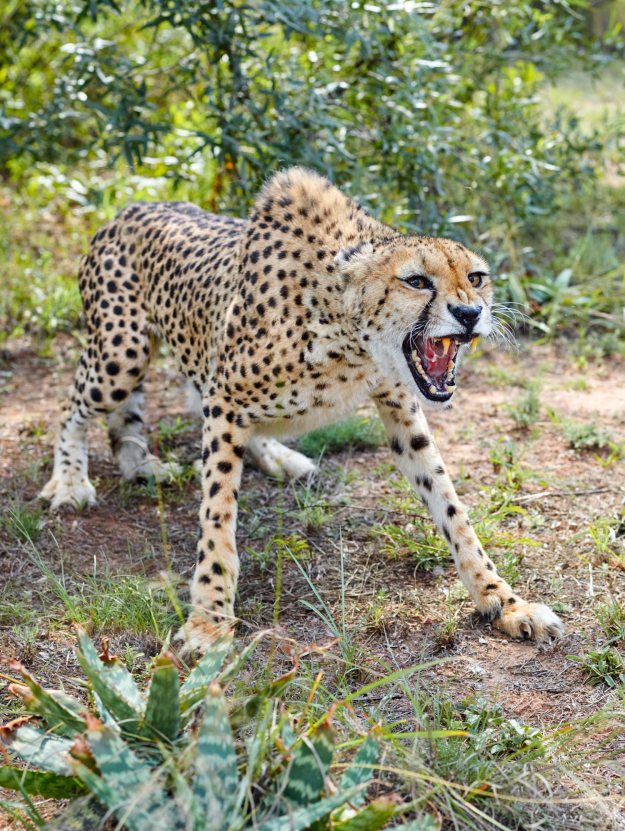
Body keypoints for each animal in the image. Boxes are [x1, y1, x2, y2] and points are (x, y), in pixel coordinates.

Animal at [39, 167, 564, 654]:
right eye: (416, 281)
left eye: (475, 277)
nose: (470, 314)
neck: (348, 334)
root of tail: (133, 206)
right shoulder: (224, 399)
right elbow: (217, 521)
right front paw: (209, 620)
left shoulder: (399, 405)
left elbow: (452, 509)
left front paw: (503, 601)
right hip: (120, 354)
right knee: (72, 406)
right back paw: (71, 479)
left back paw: (178, 460)